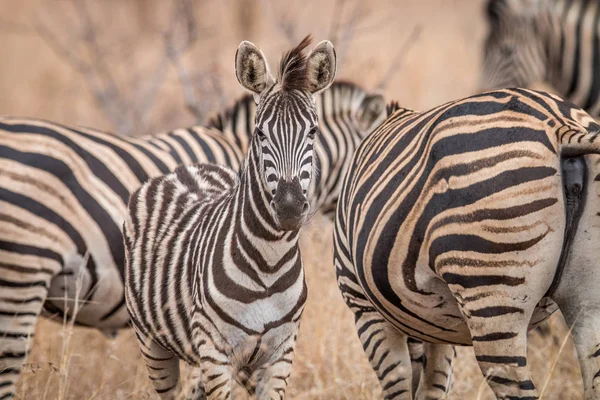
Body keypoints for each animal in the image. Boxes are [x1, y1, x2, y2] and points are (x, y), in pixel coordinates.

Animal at [122, 36, 338, 398]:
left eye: (312, 132)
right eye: (260, 134)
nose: (290, 208)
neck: (269, 264)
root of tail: (183, 169)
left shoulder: (280, 354)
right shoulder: (214, 353)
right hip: (152, 344)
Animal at [336, 88, 600, 400]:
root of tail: (562, 127)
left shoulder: (364, 308)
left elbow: (398, 386)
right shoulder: (439, 323)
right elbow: (432, 387)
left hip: (491, 293)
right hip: (589, 301)